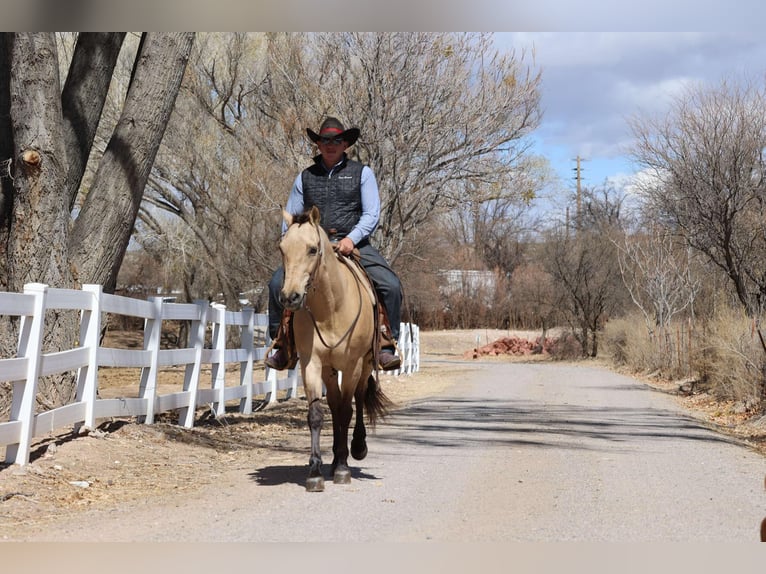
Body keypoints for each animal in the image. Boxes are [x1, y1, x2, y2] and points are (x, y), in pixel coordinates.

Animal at [277, 205, 391, 492]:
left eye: (312, 249)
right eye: (282, 249)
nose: (290, 297)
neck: (330, 309)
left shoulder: (352, 365)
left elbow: (348, 410)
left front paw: (342, 467)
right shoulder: (312, 363)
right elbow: (318, 414)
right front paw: (316, 471)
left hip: (363, 366)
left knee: (357, 401)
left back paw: (355, 450)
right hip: (330, 370)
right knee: (336, 403)